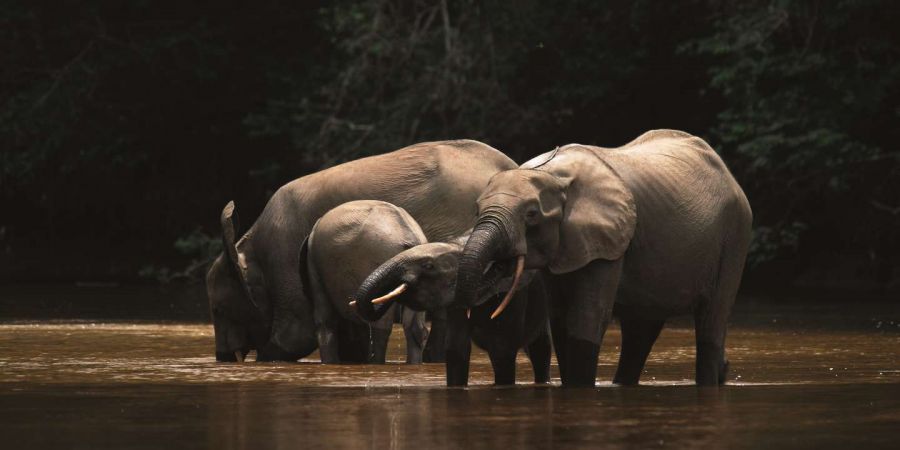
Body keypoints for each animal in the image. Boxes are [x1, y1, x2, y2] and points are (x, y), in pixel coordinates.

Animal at [350, 234, 552, 384]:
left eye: (428, 265)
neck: (464, 247)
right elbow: (456, 349)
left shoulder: (511, 296)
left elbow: (502, 350)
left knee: (540, 349)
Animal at [450, 129, 752, 386]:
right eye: (476, 210)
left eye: (532, 214)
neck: (553, 174)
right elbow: (561, 319)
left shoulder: (609, 241)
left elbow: (587, 316)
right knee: (639, 332)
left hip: (734, 235)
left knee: (711, 323)